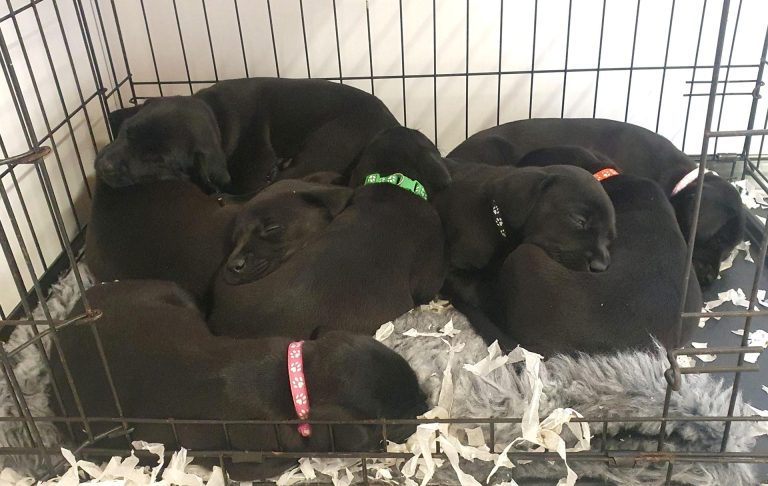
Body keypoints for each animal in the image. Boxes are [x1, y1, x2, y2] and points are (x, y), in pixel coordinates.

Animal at [96, 78, 402, 194]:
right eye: (127, 131)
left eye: (157, 159)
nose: (103, 167)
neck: (216, 118)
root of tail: (393, 123)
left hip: (327, 144)